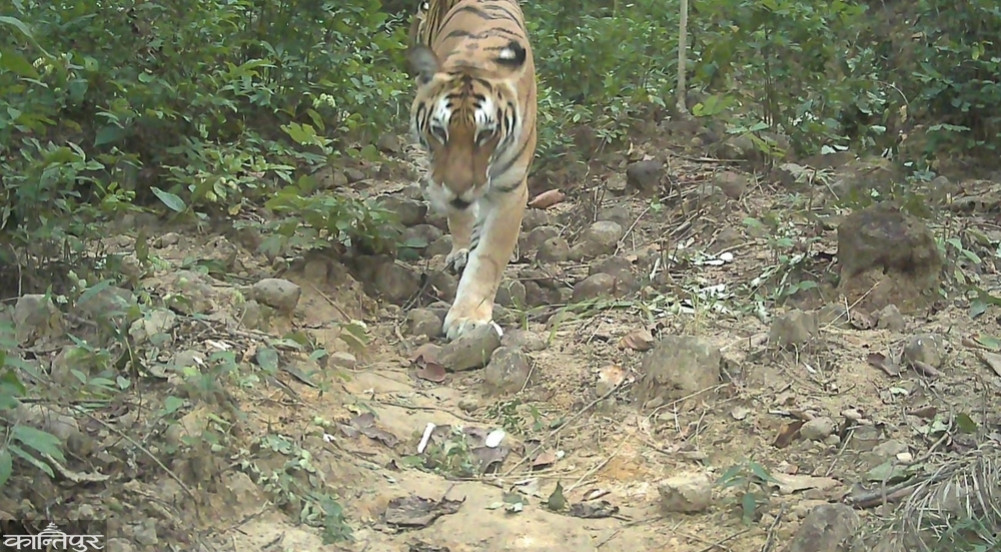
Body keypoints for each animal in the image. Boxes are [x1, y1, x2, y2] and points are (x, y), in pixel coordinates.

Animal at [406, 0, 538, 342]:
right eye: (439, 131)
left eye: (485, 134)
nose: (458, 189)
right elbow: (462, 218)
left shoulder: (511, 191)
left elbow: (488, 259)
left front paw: (468, 319)